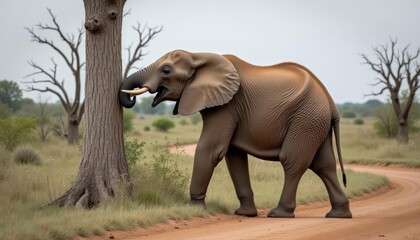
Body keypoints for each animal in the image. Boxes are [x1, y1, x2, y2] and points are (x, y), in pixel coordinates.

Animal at [118, 49, 352, 218]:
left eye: (166, 70)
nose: (130, 98)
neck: (198, 55)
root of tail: (331, 102)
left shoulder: (226, 106)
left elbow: (211, 149)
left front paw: (193, 208)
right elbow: (234, 157)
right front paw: (244, 214)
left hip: (305, 119)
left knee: (293, 161)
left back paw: (279, 213)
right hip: (315, 122)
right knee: (323, 165)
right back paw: (338, 215)